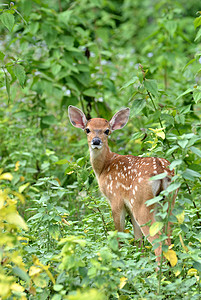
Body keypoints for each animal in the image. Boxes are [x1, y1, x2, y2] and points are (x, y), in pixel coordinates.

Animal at [68, 105, 176, 262]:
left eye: (107, 130)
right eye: (87, 129)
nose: (96, 141)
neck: (105, 167)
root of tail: (162, 170)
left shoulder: (115, 198)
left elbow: (118, 234)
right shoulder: (129, 204)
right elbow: (138, 239)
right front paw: (137, 257)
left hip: (142, 203)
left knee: (159, 244)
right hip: (169, 202)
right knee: (168, 239)